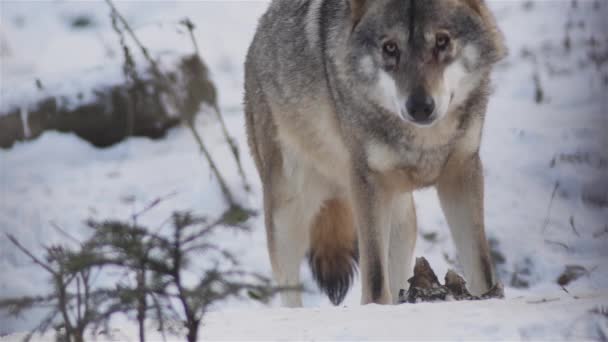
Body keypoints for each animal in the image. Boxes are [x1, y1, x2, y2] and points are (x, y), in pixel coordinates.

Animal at [245, 0, 506, 306]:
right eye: (390, 47)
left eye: (442, 41)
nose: (419, 107)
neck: (426, 140)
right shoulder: (370, 184)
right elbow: (375, 283)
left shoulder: (462, 172)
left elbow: (482, 270)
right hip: (288, 215)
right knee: (289, 291)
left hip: (403, 223)